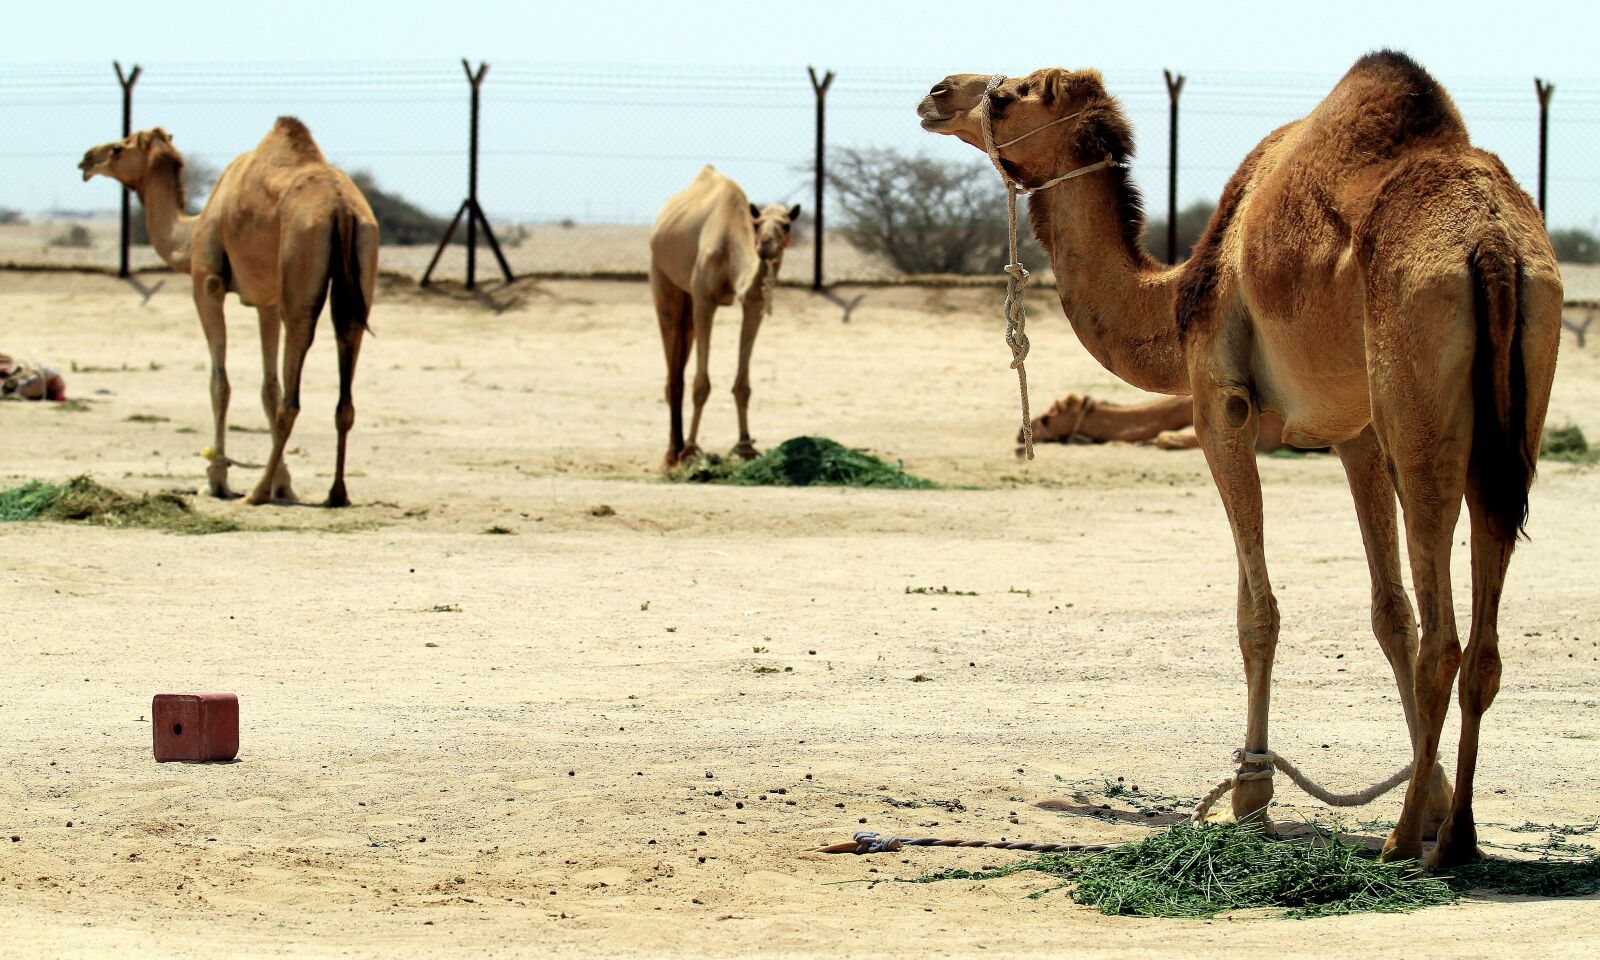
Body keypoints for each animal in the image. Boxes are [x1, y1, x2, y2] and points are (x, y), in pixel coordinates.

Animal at [79, 118, 378, 506]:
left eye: (119, 148)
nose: (87, 159)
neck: (190, 231)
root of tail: (341, 208)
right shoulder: (267, 301)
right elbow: (269, 388)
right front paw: (284, 482)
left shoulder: (208, 284)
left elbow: (219, 383)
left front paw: (217, 478)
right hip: (362, 263)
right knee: (345, 363)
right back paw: (336, 492)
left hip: (300, 271)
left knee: (294, 389)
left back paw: (257, 491)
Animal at [649, 166, 799, 469]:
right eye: (758, 223)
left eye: (787, 224)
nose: (765, 246)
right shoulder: (705, 301)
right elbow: (701, 384)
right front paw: (691, 450)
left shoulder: (753, 304)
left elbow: (743, 385)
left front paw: (746, 448)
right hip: (662, 276)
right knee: (673, 356)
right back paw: (672, 455)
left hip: (687, 299)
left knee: (683, 342)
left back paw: (676, 449)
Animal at [920, 51, 1560, 868]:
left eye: (1011, 95)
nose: (937, 94)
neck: (1178, 297)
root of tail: (1493, 247)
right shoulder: (1353, 428)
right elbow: (1389, 614)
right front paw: (1437, 790)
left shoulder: (1220, 403)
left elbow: (1258, 612)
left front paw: (1250, 795)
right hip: (1516, 404)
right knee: (1482, 619)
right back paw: (1457, 834)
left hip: (1419, 398)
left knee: (1444, 626)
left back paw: (1403, 837)